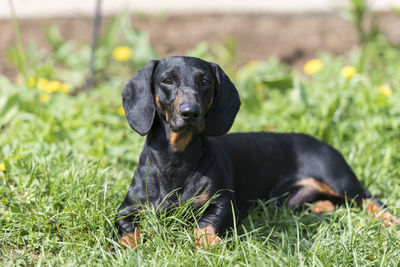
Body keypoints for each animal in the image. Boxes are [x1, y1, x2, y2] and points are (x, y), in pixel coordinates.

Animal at [115, 56, 396, 249]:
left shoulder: (223, 204)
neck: (176, 160)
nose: (190, 112)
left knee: (369, 198)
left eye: (205, 82)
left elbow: (205, 225)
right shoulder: (127, 209)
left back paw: (390, 220)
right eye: (167, 80)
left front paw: (209, 244)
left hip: (339, 181)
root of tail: (323, 142)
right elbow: (127, 229)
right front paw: (125, 246)